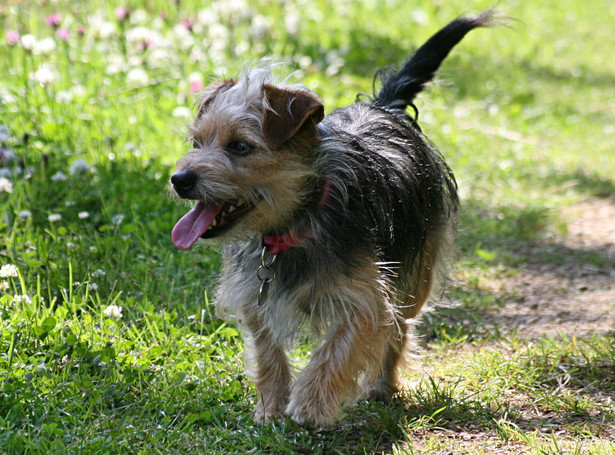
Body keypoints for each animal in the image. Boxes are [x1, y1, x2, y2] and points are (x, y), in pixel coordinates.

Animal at [170, 12, 496, 430]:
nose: (180, 179)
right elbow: (266, 351)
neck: (295, 225)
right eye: (197, 144)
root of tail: (383, 106)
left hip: (415, 273)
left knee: (401, 331)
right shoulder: (254, 297)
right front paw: (270, 407)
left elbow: (339, 348)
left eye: (240, 147)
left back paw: (382, 386)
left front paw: (311, 403)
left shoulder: (368, 297)